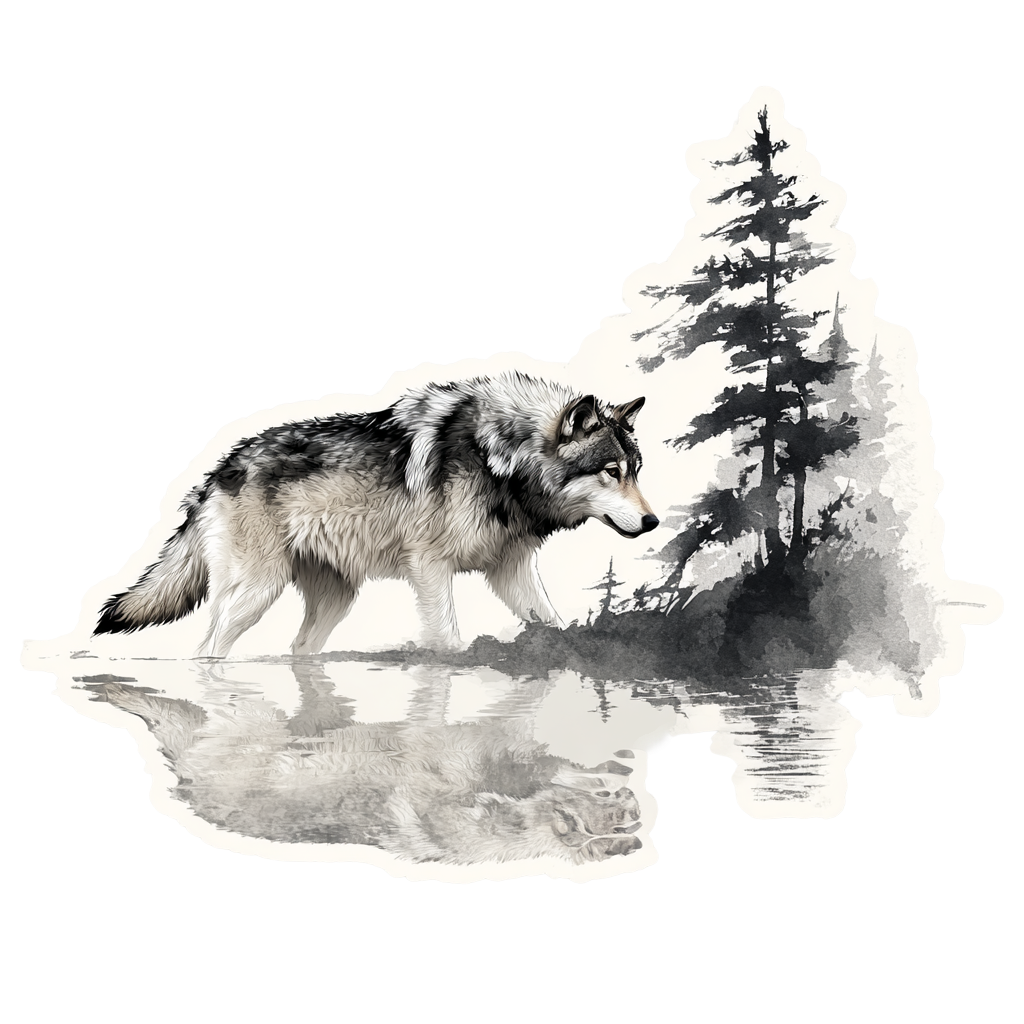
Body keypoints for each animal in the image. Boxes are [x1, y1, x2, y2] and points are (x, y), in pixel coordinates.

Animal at [95, 373, 659, 657]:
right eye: (611, 471)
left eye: (635, 470)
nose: (652, 522)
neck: (500, 458)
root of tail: (218, 469)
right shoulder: (430, 569)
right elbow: (448, 642)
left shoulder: (510, 570)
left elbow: (553, 621)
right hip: (256, 591)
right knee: (207, 646)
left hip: (335, 602)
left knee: (299, 648)